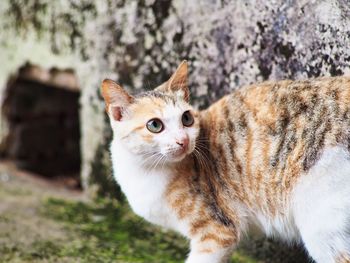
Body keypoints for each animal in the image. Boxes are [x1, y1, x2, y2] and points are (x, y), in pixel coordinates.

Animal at [100, 60, 350, 262]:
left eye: (186, 118)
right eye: (154, 125)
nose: (183, 140)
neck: (144, 171)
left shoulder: (217, 232)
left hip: (320, 222)